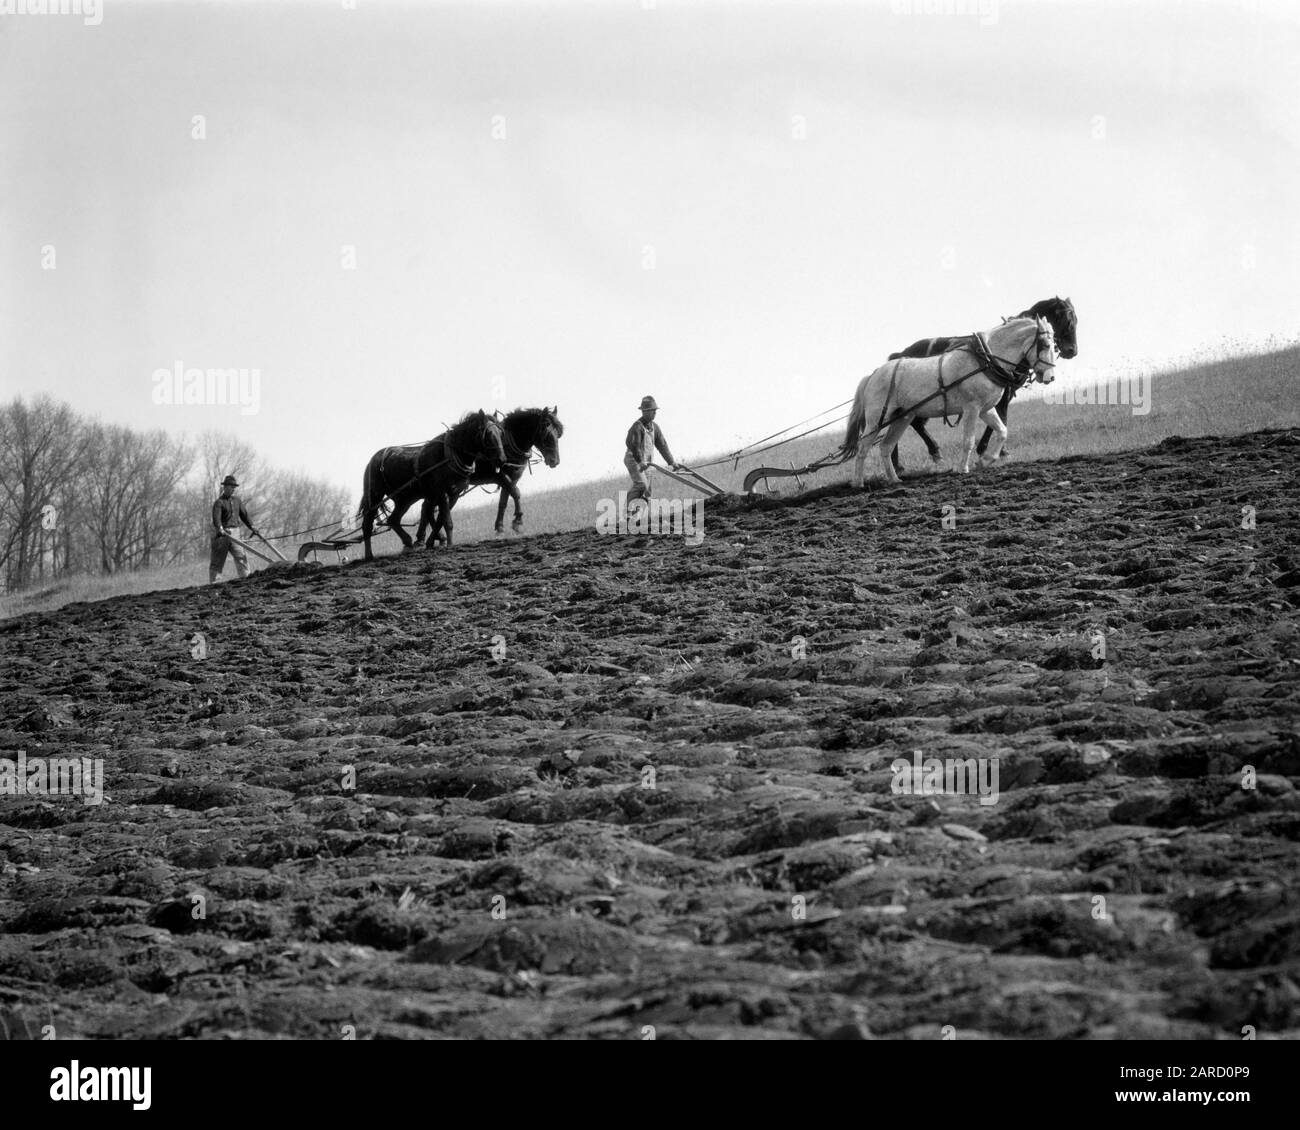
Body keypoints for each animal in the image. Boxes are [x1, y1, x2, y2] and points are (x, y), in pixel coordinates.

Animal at [358, 410, 506, 560]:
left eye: (501, 432)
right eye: (488, 434)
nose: (502, 460)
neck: (449, 455)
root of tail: (373, 460)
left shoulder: (454, 494)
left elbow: (440, 519)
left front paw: (432, 542)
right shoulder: (442, 493)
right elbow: (447, 521)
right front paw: (450, 545)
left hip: (405, 498)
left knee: (393, 519)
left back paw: (408, 542)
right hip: (374, 496)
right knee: (367, 524)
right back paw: (369, 555)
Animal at [417, 406, 564, 543]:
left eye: (559, 434)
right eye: (546, 433)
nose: (554, 461)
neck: (508, 443)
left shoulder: (513, 478)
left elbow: (504, 501)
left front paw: (500, 527)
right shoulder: (499, 476)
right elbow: (516, 493)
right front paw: (518, 522)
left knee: (427, 507)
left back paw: (431, 538)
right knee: (428, 507)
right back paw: (424, 539)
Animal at [842, 315, 1057, 488]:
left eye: (1053, 345)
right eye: (1046, 345)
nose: (1051, 377)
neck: (986, 361)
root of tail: (873, 375)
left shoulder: (985, 409)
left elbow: (1002, 431)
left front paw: (986, 460)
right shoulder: (972, 408)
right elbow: (968, 440)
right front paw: (962, 468)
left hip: (902, 417)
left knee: (886, 446)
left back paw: (894, 479)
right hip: (877, 418)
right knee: (863, 447)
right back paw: (858, 483)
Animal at [888, 297, 1077, 472]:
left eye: (1076, 321)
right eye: (1068, 321)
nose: (1072, 351)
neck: (991, 357)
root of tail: (900, 354)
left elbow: (1001, 423)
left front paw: (991, 454)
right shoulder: (999, 397)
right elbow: (1002, 419)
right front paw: (993, 451)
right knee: (909, 424)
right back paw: (912, 460)